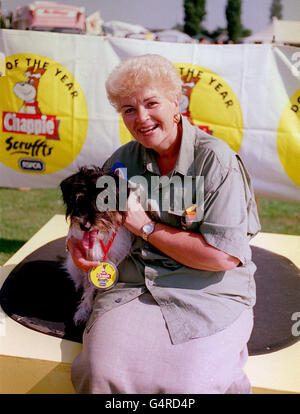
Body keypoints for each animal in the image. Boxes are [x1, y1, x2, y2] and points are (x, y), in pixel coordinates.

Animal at [59, 166, 134, 326]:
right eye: (79, 198)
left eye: (105, 200)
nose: (85, 226)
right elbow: (88, 287)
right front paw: (83, 311)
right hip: (72, 265)